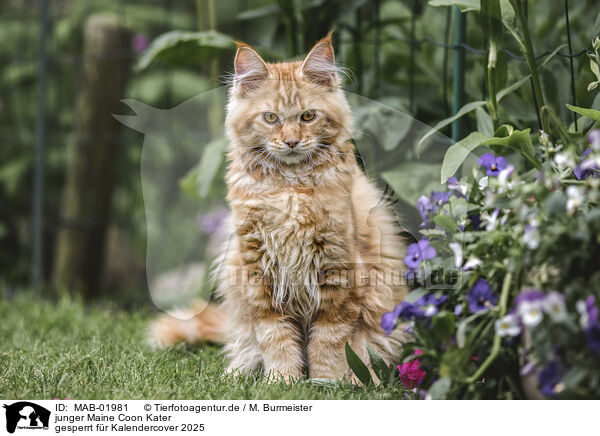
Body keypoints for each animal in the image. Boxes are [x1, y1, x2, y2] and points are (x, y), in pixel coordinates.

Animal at [152, 33, 410, 382]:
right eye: (271, 118)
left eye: (308, 116)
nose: (290, 142)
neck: (290, 188)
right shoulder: (257, 272)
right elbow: (275, 338)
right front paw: (282, 381)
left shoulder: (339, 270)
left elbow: (330, 341)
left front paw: (326, 382)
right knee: (245, 349)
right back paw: (238, 376)